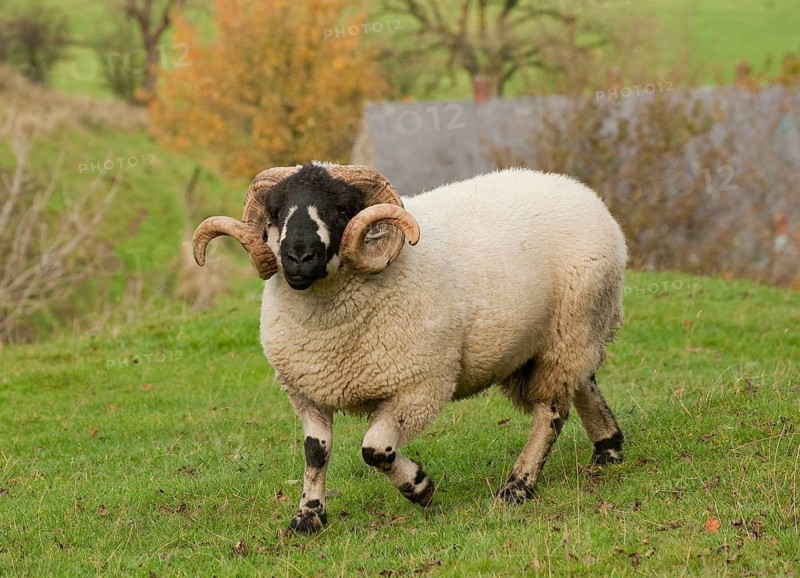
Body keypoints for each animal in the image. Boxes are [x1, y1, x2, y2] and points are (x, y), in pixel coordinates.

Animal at [193, 162, 627, 534]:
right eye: (277, 211)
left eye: (342, 209)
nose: (298, 256)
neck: (330, 329)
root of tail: (580, 190)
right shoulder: (307, 391)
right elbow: (315, 453)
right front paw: (308, 518)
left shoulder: (418, 388)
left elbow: (374, 450)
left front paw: (420, 487)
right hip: (555, 339)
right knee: (583, 381)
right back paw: (608, 449)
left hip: (570, 329)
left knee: (551, 412)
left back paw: (517, 487)